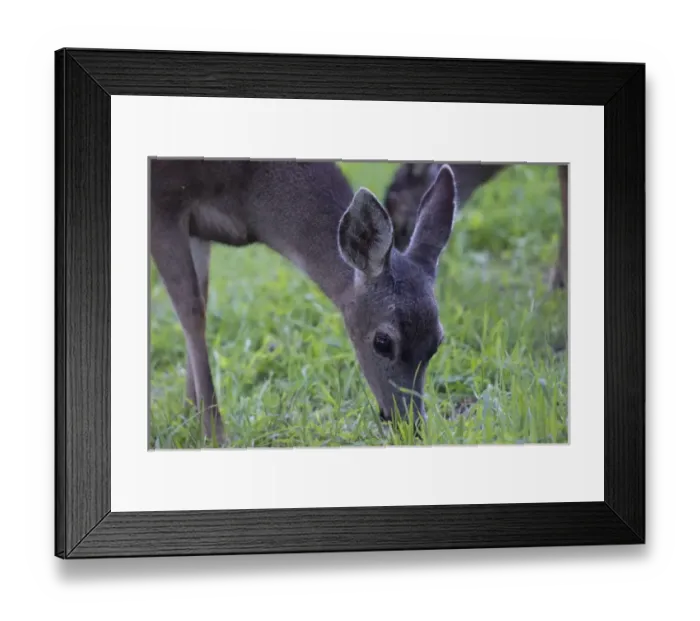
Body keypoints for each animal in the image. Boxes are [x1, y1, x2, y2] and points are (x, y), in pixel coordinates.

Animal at [149, 159, 458, 445]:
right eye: (382, 342)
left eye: (437, 342)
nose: (412, 426)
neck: (249, 195)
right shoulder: (164, 202)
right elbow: (192, 313)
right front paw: (215, 435)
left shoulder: (197, 230)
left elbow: (199, 303)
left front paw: (188, 419)